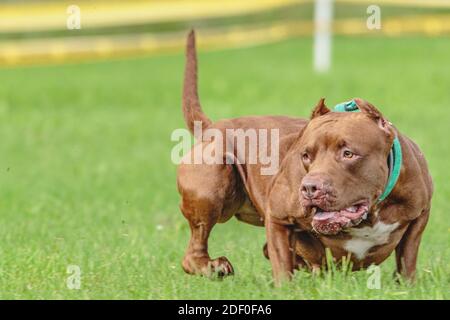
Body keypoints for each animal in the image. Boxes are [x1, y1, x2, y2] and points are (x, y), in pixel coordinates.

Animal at [177, 31, 432, 284]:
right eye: (306, 156)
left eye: (348, 153)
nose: (310, 188)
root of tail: (213, 127)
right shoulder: (277, 216)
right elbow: (281, 263)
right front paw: (286, 288)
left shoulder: (420, 213)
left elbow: (407, 257)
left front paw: (406, 285)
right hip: (212, 182)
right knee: (194, 251)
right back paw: (213, 267)